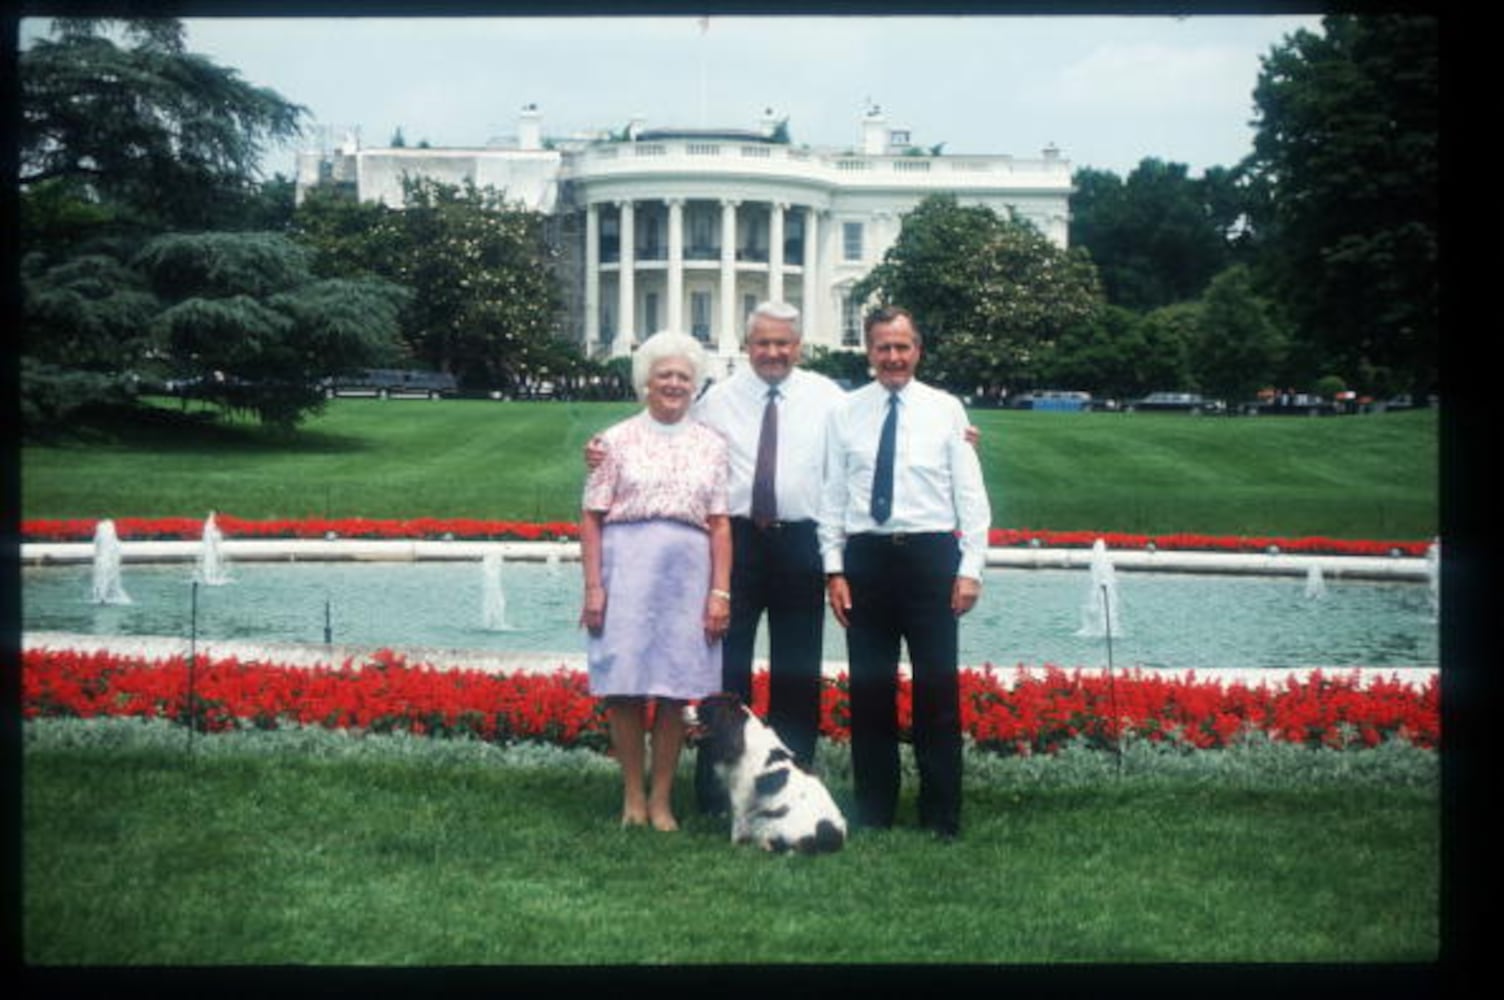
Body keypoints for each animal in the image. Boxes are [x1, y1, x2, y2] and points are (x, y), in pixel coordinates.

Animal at [688, 694, 854, 848]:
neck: (743, 735)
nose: (684, 707)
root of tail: (833, 838)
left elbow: (738, 821)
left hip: (772, 822)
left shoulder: (741, 793)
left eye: (703, 706)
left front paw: (733, 845)